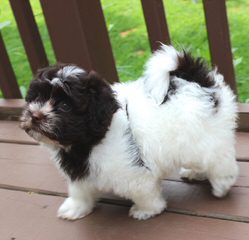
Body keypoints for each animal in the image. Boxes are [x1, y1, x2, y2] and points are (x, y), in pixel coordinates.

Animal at [20, 44, 238, 219]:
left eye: (65, 106)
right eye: (36, 98)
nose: (35, 115)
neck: (88, 142)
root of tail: (196, 82)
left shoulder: (134, 171)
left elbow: (144, 191)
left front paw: (147, 210)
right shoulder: (81, 173)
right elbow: (80, 190)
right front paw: (76, 207)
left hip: (205, 137)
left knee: (219, 160)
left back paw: (222, 184)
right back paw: (196, 173)